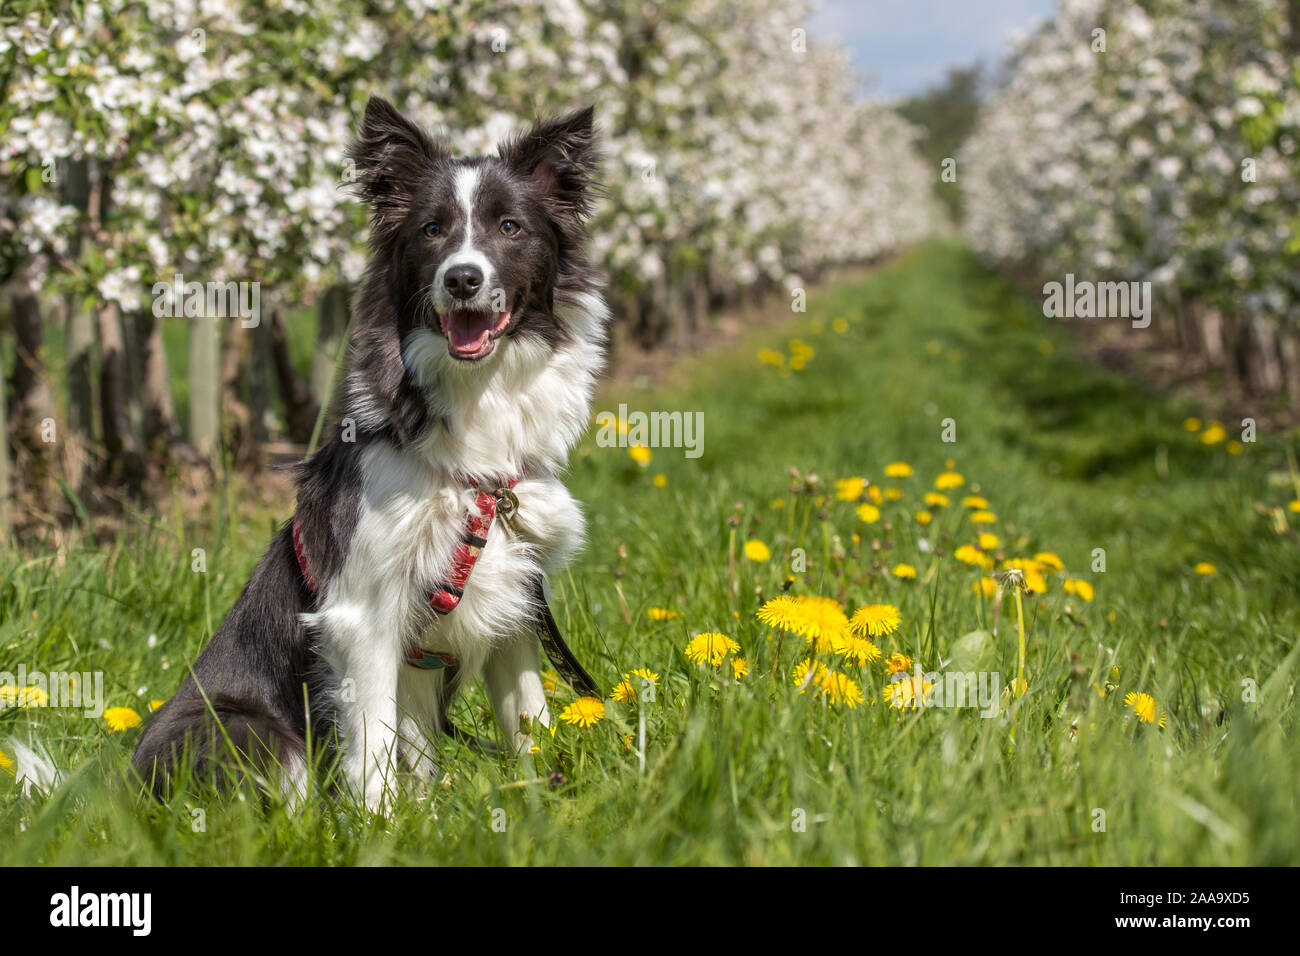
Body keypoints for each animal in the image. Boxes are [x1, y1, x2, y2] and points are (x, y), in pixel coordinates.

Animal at [134, 97, 605, 811]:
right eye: (432, 230)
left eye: (510, 227)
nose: (462, 279)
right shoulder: (361, 613)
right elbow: (374, 748)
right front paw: (384, 824)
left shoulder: (517, 602)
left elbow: (530, 717)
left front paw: (545, 799)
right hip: (249, 732)